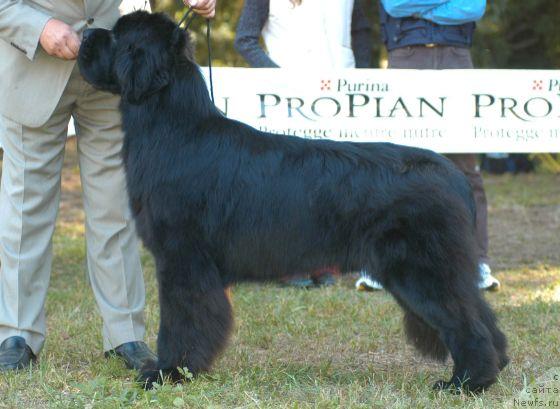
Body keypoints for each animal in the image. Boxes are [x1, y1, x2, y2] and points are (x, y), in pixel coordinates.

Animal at [77, 10, 508, 392]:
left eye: (115, 37)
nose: (83, 35)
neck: (173, 127)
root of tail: (452, 175)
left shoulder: (183, 257)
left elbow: (181, 321)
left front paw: (168, 373)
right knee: (480, 313)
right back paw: (495, 367)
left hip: (421, 269)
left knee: (466, 323)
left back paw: (466, 384)